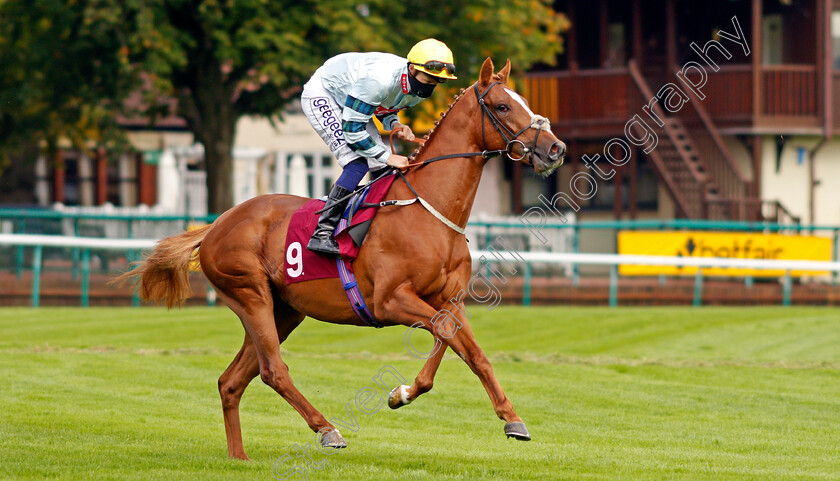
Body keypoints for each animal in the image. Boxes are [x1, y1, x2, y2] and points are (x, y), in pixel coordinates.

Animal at [120, 57, 564, 458]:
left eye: (523, 101)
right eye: (503, 106)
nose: (555, 148)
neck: (428, 209)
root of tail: (215, 226)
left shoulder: (449, 300)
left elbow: (468, 350)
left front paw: (509, 419)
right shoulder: (389, 300)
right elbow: (444, 334)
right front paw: (402, 393)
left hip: (284, 310)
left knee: (232, 381)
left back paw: (239, 457)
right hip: (250, 295)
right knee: (273, 370)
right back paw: (327, 429)